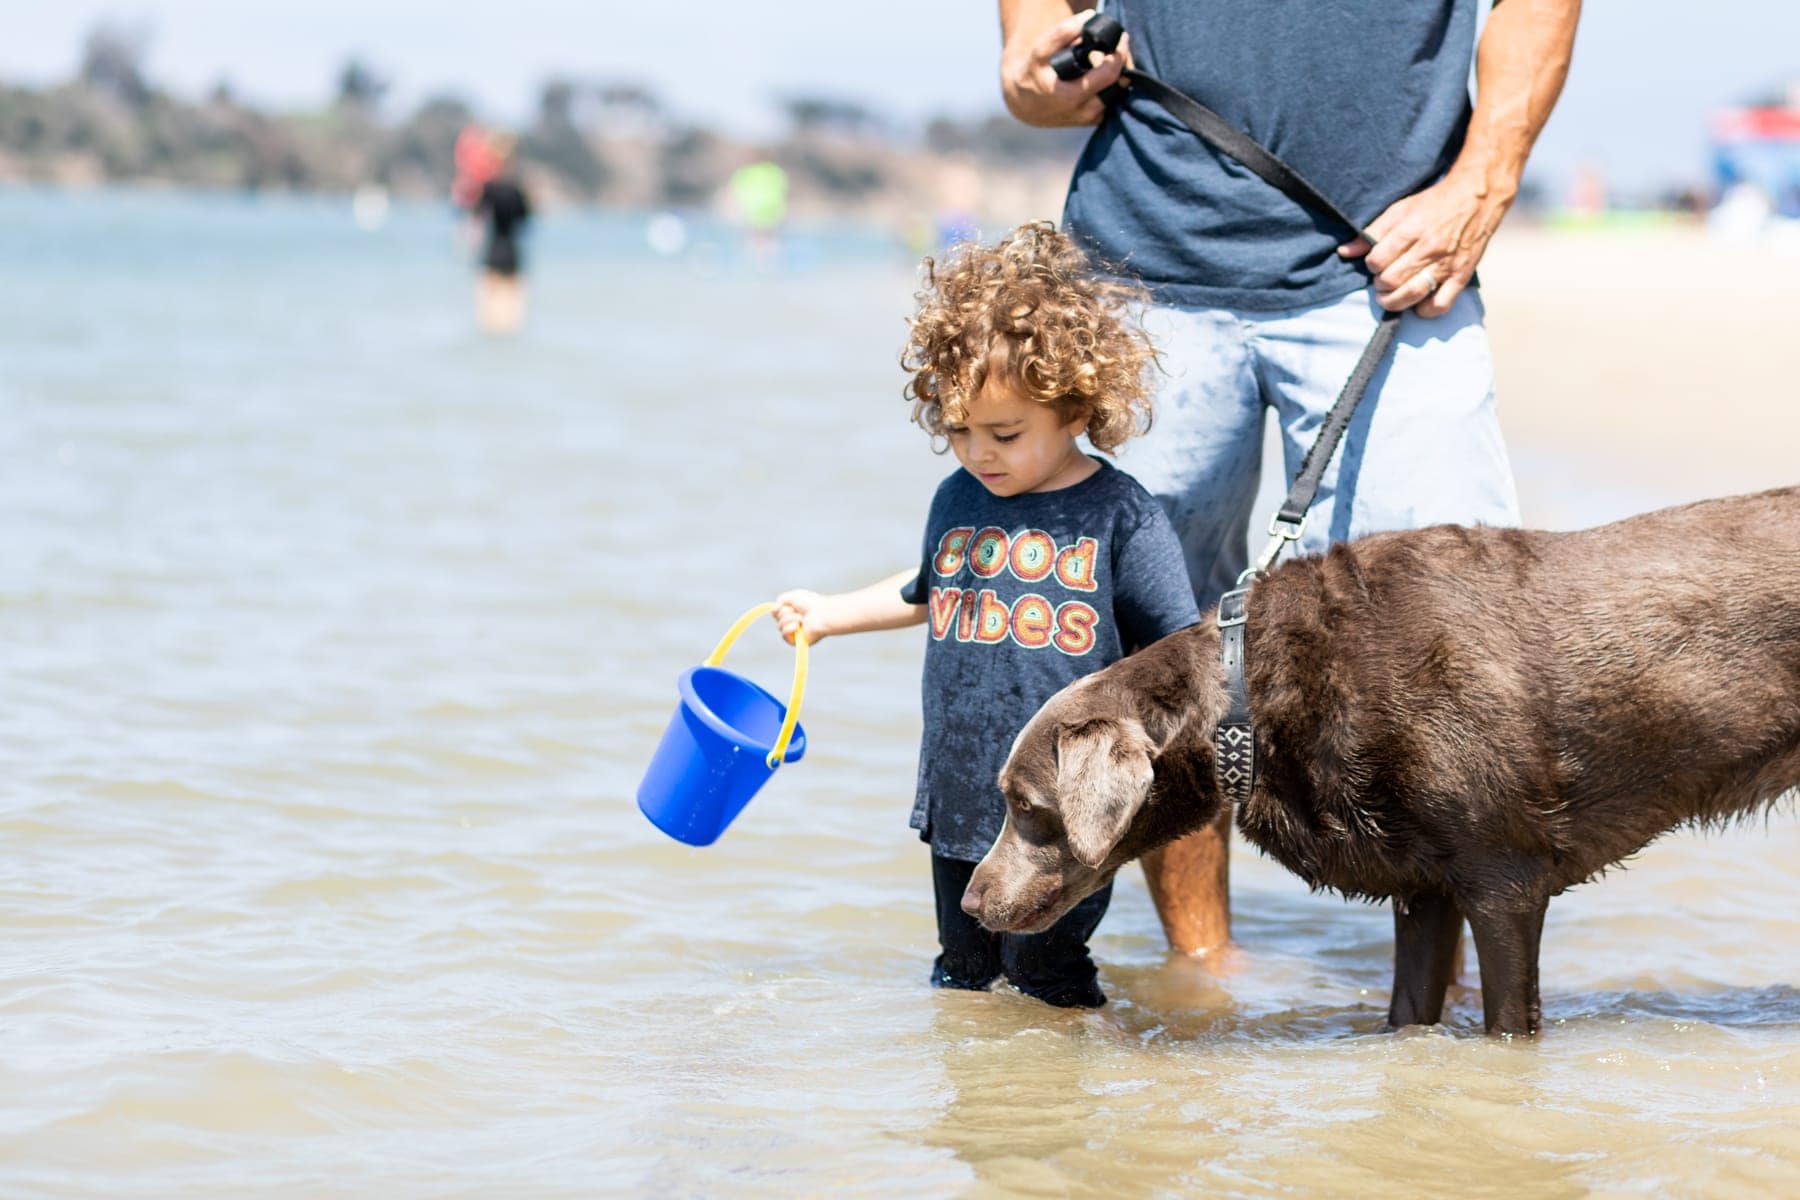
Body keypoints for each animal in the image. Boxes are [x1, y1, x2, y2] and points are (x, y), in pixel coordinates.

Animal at [964, 489, 1800, 1036]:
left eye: (1026, 808)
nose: (971, 902)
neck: (1251, 695)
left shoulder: (1506, 878)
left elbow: (1507, 1022)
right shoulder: (1422, 883)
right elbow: (1407, 1013)